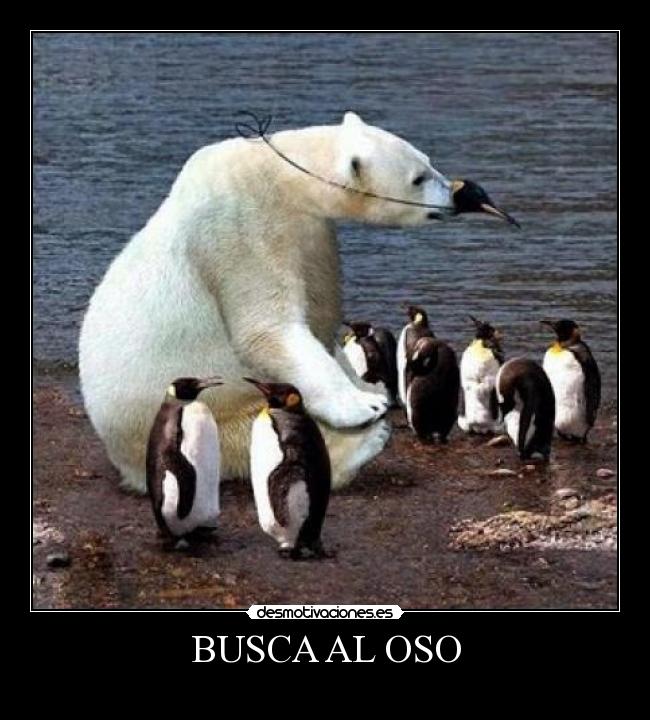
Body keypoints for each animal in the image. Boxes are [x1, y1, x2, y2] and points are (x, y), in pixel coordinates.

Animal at [78, 111, 456, 494]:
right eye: (418, 177)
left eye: (428, 160)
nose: (456, 195)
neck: (276, 173)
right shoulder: (241, 225)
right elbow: (268, 328)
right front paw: (364, 404)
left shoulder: (311, 234)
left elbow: (319, 316)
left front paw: (365, 385)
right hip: (190, 414)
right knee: (250, 436)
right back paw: (360, 446)